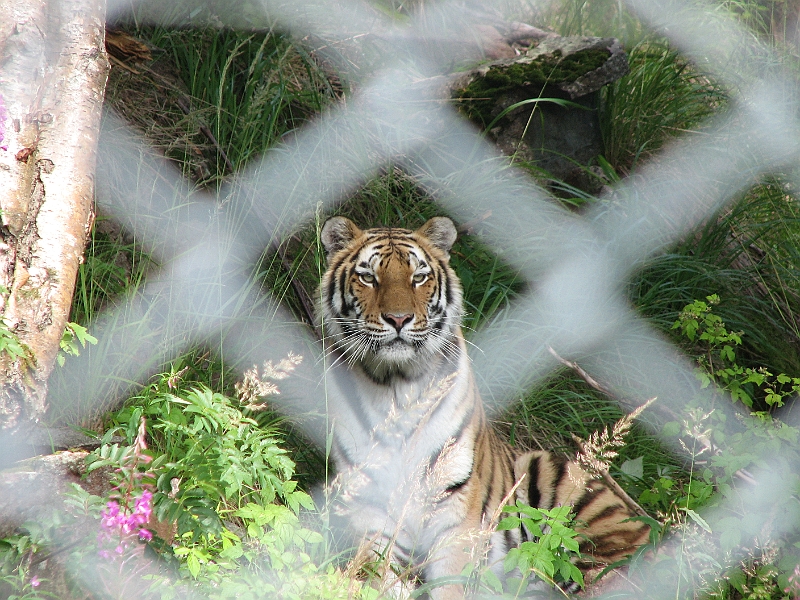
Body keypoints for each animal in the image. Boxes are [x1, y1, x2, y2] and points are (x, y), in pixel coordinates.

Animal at [317, 215, 650, 599]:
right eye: (368, 277)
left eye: (419, 277)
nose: (398, 319)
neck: (397, 386)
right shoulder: (371, 512)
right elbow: (378, 578)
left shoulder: (455, 512)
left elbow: (449, 584)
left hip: (557, 487)